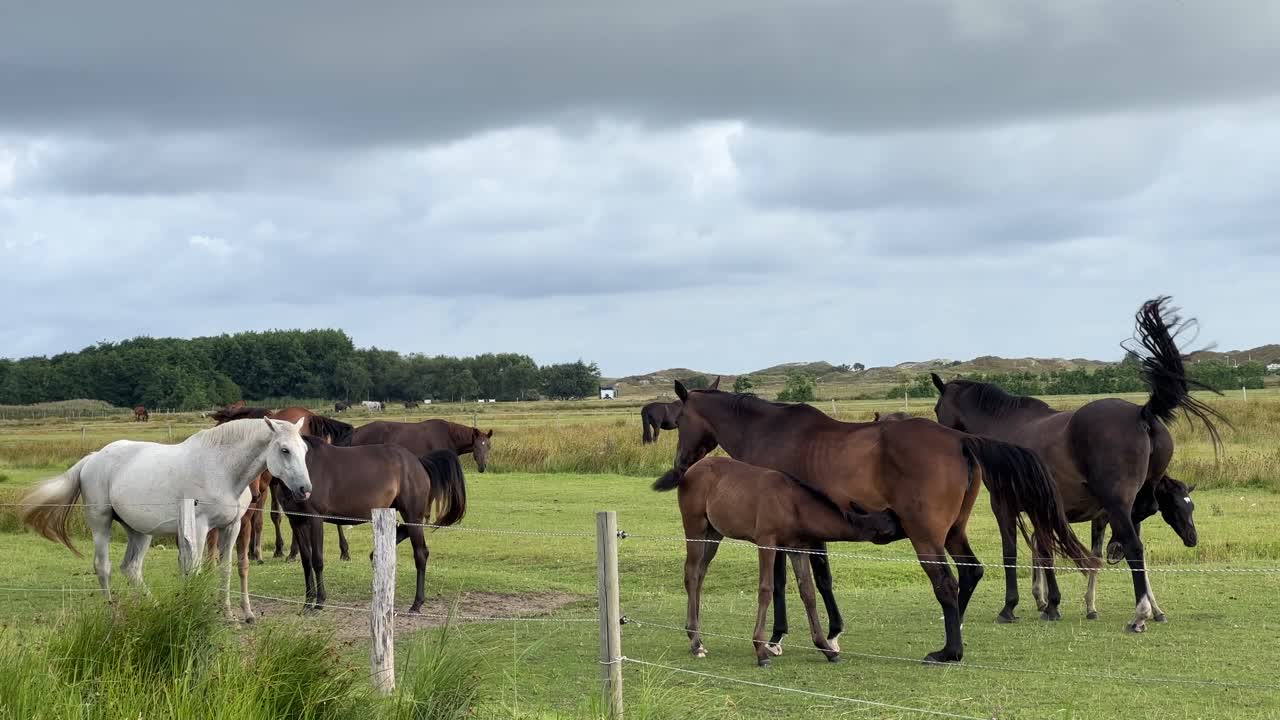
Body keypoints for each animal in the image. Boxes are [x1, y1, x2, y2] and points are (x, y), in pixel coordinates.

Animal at [19, 417, 313, 622]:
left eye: (304, 449)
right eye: (284, 450)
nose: (305, 489)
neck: (221, 469)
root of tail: (92, 459)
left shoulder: (232, 527)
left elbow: (226, 568)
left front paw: (232, 614)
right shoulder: (200, 526)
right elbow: (195, 569)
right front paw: (196, 610)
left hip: (140, 532)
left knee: (132, 568)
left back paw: (155, 607)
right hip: (101, 525)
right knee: (104, 567)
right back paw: (111, 613)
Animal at [277, 443, 467, 613]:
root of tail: (418, 462)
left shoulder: (315, 519)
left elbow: (317, 560)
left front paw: (319, 603)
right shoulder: (296, 521)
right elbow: (306, 561)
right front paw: (307, 603)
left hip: (412, 515)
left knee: (421, 554)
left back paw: (416, 604)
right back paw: (375, 558)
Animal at [660, 455, 902, 666]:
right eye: (893, 522)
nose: (909, 527)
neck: (793, 504)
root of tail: (690, 470)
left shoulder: (797, 548)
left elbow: (808, 592)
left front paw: (826, 648)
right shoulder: (767, 542)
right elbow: (766, 589)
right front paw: (760, 650)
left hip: (714, 533)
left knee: (701, 573)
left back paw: (698, 637)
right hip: (695, 526)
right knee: (691, 574)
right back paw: (695, 642)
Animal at [930, 295, 1223, 632]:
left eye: (937, 408)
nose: (939, 435)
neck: (1003, 427)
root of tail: (1143, 412)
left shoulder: (1004, 505)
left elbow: (1012, 553)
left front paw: (1012, 606)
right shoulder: (1040, 508)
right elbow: (1045, 551)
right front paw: (1051, 604)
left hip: (1115, 502)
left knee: (1135, 547)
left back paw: (1139, 613)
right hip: (1136, 497)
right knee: (1139, 522)